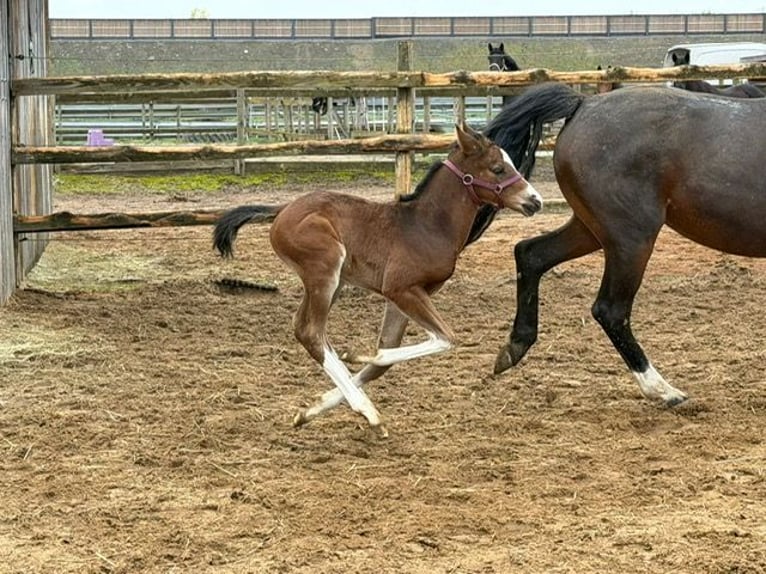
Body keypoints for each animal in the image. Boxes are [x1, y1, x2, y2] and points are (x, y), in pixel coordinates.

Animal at [213, 123, 542, 437]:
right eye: (498, 168)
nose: (535, 201)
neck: (426, 226)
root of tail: (282, 210)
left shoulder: (403, 298)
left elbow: (387, 358)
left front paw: (315, 405)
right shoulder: (401, 289)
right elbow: (444, 338)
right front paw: (359, 355)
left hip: (334, 281)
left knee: (303, 327)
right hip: (325, 269)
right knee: (311, 332)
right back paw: (368, 411)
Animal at [482, 82, 766, 407]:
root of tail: (584, 104)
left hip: (590, 230)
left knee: (530, 253)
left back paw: (514, 347)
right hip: (631, 238)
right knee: (610, 310)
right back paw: (663, 390)